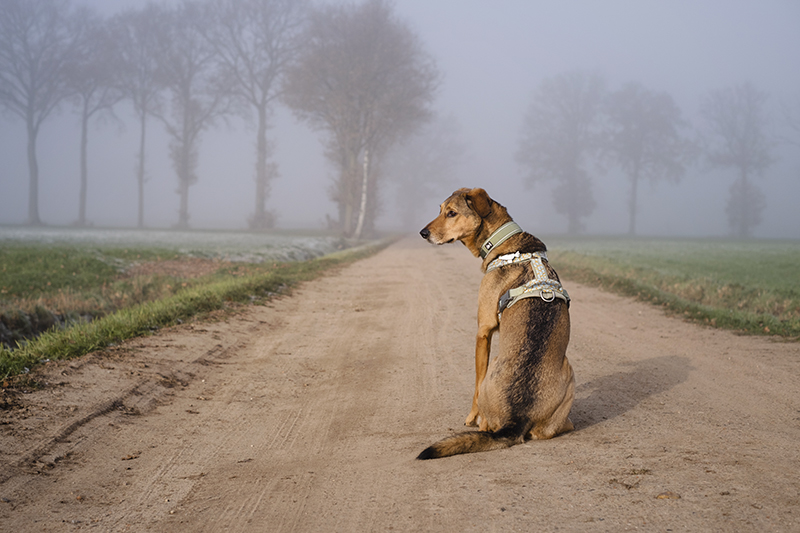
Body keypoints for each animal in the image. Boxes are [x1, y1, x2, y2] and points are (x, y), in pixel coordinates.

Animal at [418, 187, 576, 458]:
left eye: (451, 213)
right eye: (440, 209)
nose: (423, 233)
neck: (504, 243)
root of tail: (517, 418)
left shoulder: (483, 331)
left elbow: (475, 384)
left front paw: (471, 417)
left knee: (489, 421)